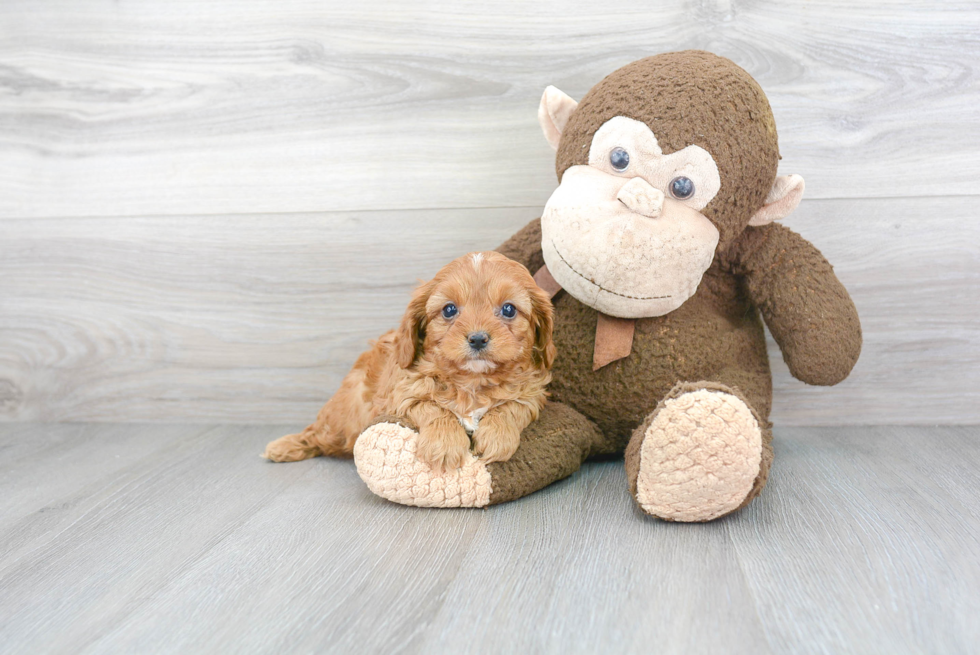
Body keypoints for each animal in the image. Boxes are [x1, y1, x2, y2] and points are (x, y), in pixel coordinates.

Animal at [264, 251, 556, 472]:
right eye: (449, 309)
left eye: (508, 309)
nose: (477, 339)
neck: (473, 381)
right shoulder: (403, 394)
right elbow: (435, 408)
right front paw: (444, 444)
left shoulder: (532, 394)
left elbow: (509, 407)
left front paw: (498, 436)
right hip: (344, 417)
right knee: (316, 433)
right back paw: (284, 446)